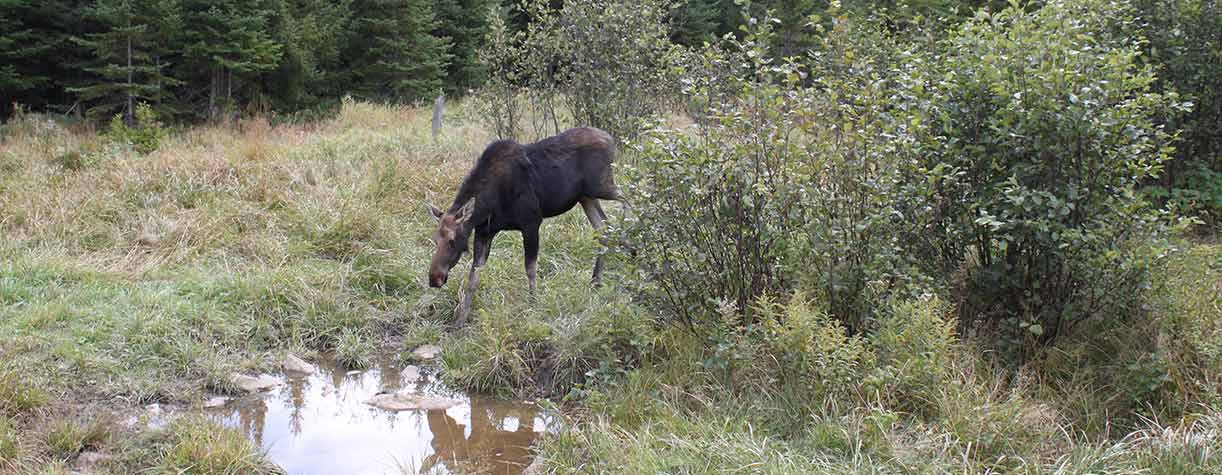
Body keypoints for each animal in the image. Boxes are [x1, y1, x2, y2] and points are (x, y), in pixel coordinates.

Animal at [425, 125, 625, 324]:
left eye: (452, 240)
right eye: (435, 240)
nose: (434, 279)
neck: (486, 206)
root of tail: (611, 140)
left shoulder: (532, 222)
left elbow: (530, 268)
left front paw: (533, 304)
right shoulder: (484, 231)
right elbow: (473, 276)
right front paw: (461, 319)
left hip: (601, 185)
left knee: (627, 197)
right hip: (586, 197)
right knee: (603, 228)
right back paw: (597, 279)